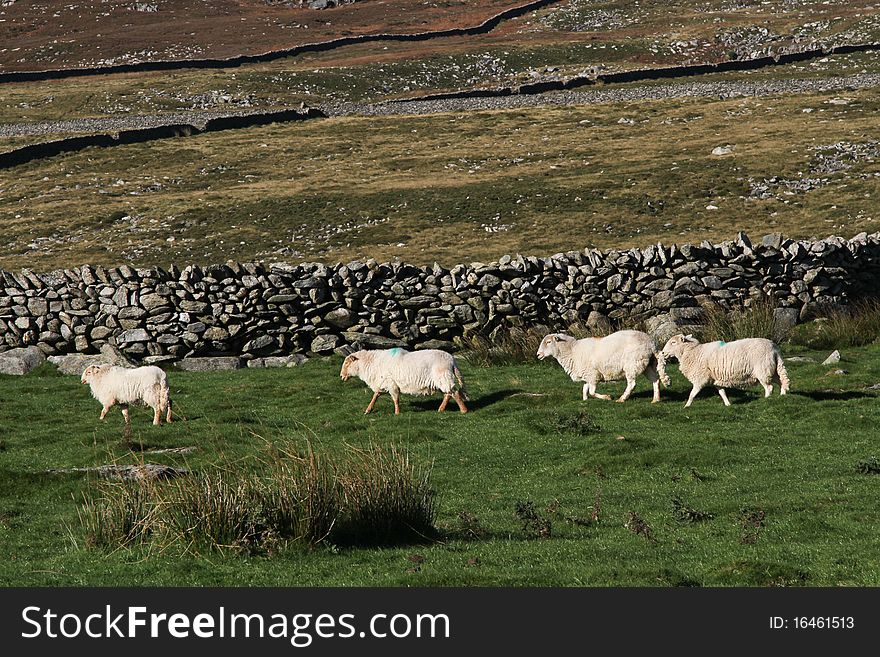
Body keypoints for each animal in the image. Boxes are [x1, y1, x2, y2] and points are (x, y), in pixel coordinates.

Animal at [340, 348, 470, 416]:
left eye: (347, 363)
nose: (341, 376)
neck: (371, 364)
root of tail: (452, 360)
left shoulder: (391, 383)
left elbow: (395, 399)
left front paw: (397, 413)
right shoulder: (383, 383)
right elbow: (375, 396)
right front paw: (368, 410)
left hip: (443, 376)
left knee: (454, 392)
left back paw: (464, 410)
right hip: (440, 380)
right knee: (448, 394)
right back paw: (441, 409)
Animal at [532, 330, 672, 402]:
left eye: (548, 342)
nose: (538, 354)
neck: (572, 351)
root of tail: (652, 344)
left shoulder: (593, 375)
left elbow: (592, 392)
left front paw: (607, 397)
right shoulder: (588, 375)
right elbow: (585, 389)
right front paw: (585, 400)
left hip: (632, 364)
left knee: (632, 384)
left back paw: (622, 399)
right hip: (647, 364)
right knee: (656, 380)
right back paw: (655, 399)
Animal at [660, 336, 792, 408]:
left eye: (673, 342)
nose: (662, 352)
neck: (693, 352)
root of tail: (774, 348)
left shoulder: (700, 378)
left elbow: (692, 394)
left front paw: (686, 406)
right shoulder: (716, 380)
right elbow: (722, 393)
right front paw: (728, 404)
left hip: (762, 370)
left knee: (769, 387)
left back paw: (766, 400)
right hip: (773, 369)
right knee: (782, 381)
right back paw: (782, 396)